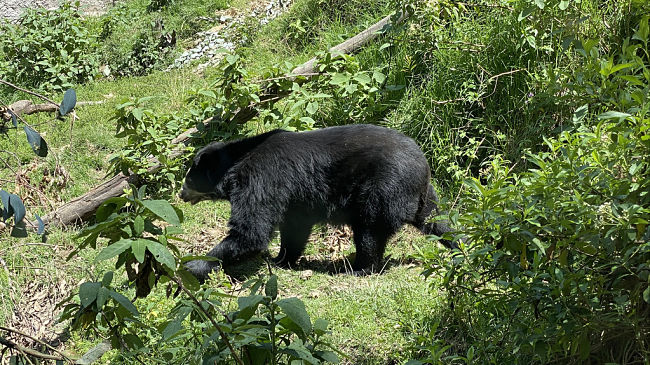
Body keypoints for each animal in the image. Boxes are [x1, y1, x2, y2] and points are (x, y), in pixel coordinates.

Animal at [178, 123, 456, 280]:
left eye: (189, 178)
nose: (180, 194)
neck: (236, 163)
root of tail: (422, 164)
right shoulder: (294, 199)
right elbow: (294, 228)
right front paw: (281, 260)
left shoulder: (262, 179)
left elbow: (251, 232)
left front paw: (193, 266)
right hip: (423, 197)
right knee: (438, 222)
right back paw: (457, 244)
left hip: (382, 188)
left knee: (369, 231)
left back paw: (358, 268)